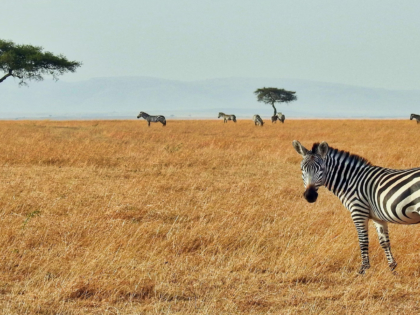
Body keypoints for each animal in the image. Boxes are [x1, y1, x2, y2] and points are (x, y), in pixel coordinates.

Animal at [292, 141, 420, 274]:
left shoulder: (358, 211)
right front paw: (392, 268)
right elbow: (384, 242)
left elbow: (363, 241)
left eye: (321, 169)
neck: (350, 181)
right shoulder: (378, 217)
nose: (310, 196)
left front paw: (363, 269)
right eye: (302, 169)